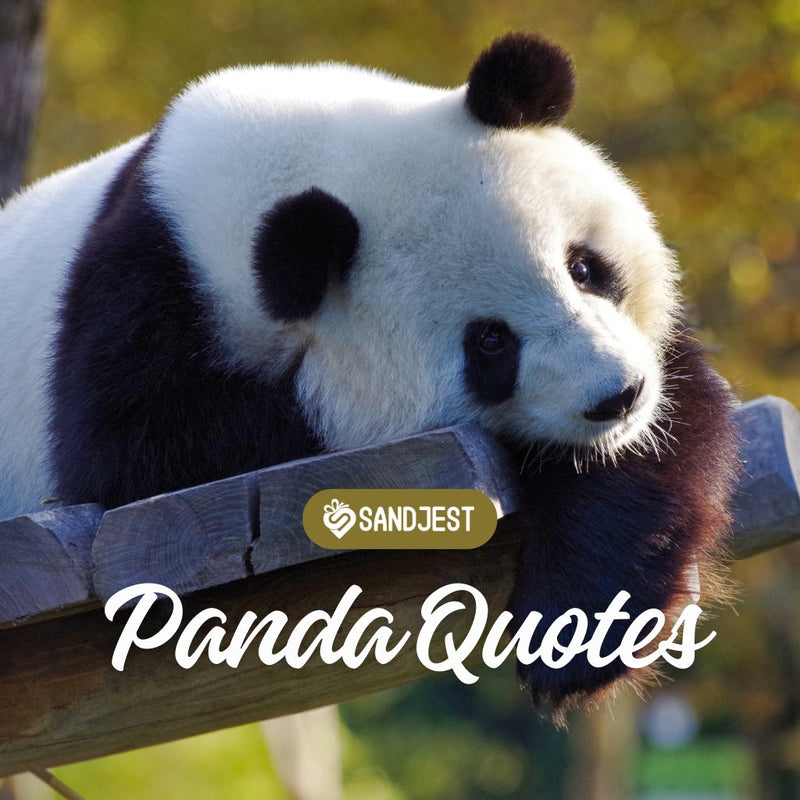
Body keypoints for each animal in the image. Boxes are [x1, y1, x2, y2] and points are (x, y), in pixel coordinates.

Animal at [0, 32, 739, 711]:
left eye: (584, 266)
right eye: (490, 343)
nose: (617, 396)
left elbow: (667, 427)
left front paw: (578, 636)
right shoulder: (138, 299)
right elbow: (130, 452)